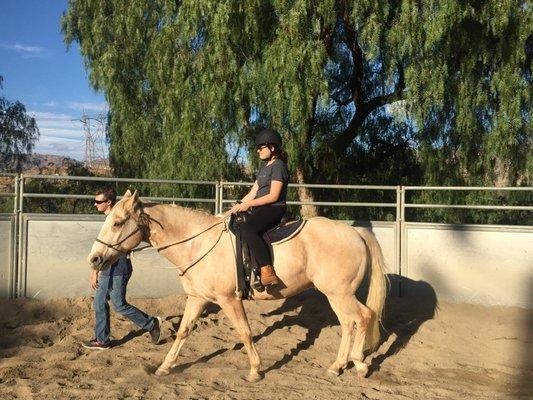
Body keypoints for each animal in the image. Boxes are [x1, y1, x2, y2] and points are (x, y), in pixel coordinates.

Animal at [88, 191, 386, 382]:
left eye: (117, 222)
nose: (95, 259)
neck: (197, 242)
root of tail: (354, 232)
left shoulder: (229, 299)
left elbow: (244, 332)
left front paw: (255, 370)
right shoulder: (197, 298)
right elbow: (183, 331)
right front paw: (165, 366)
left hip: (340, 293)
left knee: (363, 317)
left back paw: (358, 364)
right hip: (336, 295)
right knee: (349, 323)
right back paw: (338, 366)